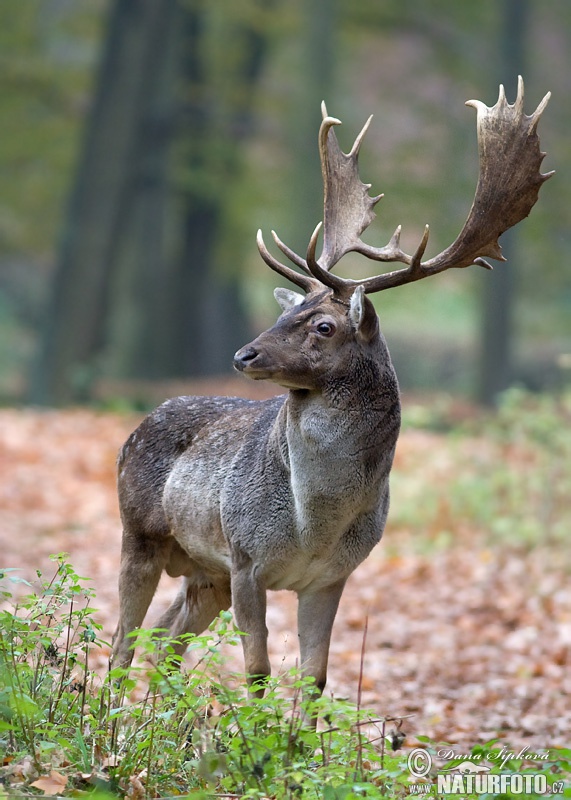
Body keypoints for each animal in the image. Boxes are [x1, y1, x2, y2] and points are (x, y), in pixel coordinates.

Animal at [110, 79, 548, 708]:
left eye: (323, 325)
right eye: (286, 311)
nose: (244, 354)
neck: (312, 527)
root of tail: (136, 428)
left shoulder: (331, 577)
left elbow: (314, 680)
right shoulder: (246, 558)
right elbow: (258, 673)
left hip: (202, 570)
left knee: (165, 638)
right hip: (140, 533)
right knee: (124, 637)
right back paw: (108, 714)